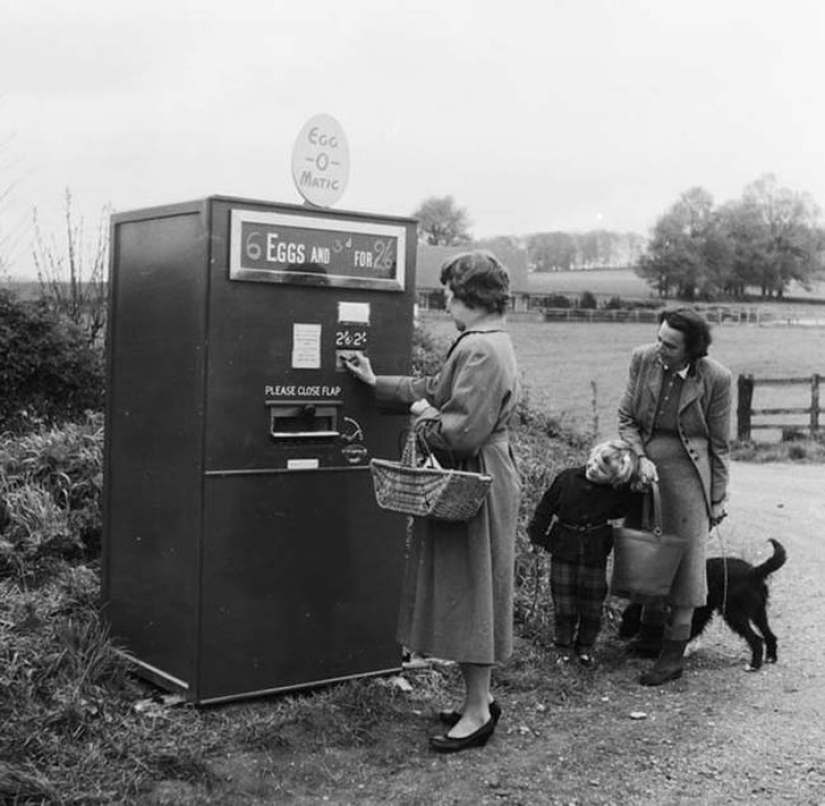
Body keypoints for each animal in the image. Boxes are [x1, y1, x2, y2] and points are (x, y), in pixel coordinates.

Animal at [616, 540, 784, 672]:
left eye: (628, 619)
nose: (620, 635)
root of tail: (753, 572)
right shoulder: (699, 616)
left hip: (734, 614)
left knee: (756, 639)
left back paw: (754, 665)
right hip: (757, 612)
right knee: (770, 635)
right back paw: (771, 657)